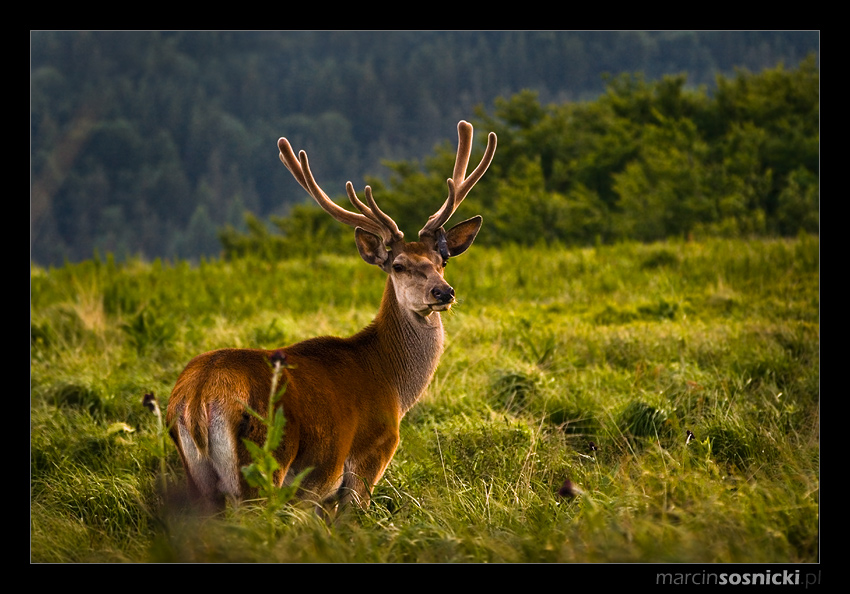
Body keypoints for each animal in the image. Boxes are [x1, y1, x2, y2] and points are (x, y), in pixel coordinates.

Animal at [166, 119, 494, 512]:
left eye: (442, 261)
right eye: (398, 265)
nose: (443, 292)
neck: (394, 386)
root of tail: (197, 397)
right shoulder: (369, 457)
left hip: (197, 478)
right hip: (264, 462)